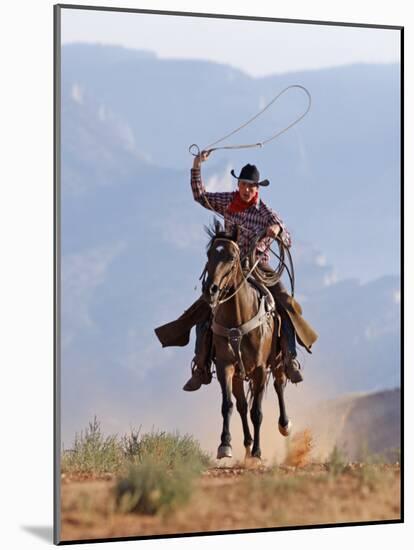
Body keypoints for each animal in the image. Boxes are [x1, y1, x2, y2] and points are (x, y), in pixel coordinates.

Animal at [204, 220, 292, 462]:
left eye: (231, 256)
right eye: (209, 254)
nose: (210, 290)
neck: (238, 317)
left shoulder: (260, 369)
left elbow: (257, 412)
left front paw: (257, 453)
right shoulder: (225, 366)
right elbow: (228, 405)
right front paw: (225, 445)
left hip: (277, 361)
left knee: (279, 385)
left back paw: (284, 425)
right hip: (239, 375)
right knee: (242, 405)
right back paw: (246, 443)